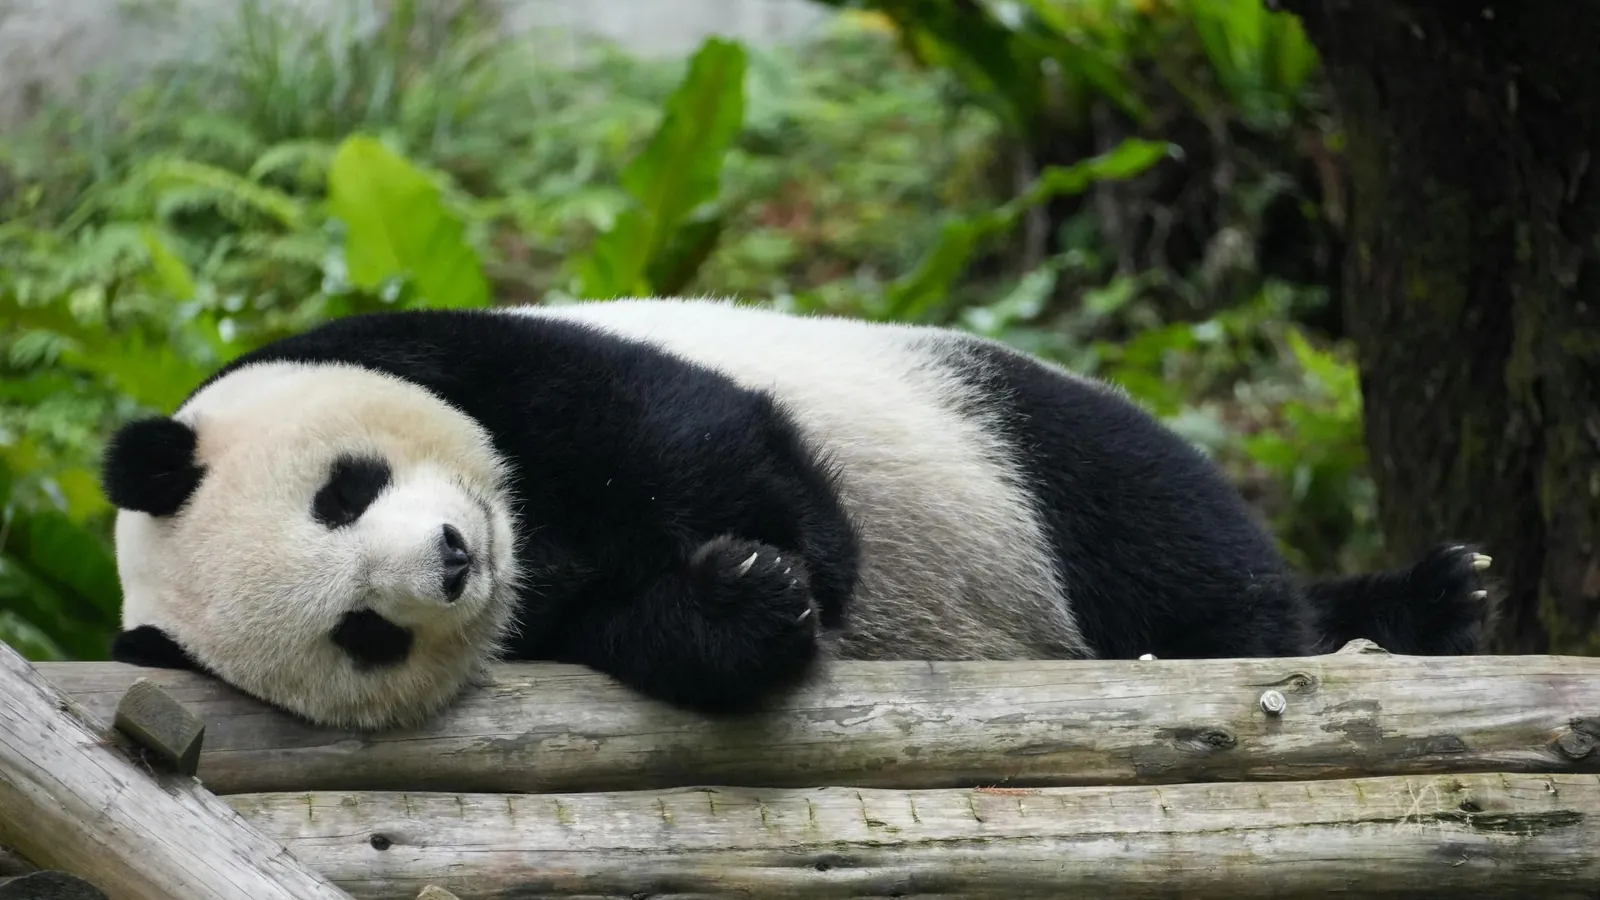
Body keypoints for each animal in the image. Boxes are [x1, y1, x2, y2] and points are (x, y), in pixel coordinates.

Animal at [100, 297, 1497, 731]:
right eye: (363, 633)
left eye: (344, 490)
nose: (451, 561)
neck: (531, 542)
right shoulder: (545, 626)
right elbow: (645, 632)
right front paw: (747, 601)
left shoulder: (459, 353)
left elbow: (685, 431)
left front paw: (793, 558)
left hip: (987, 433)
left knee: (1157, 538)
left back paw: (1408, 607)